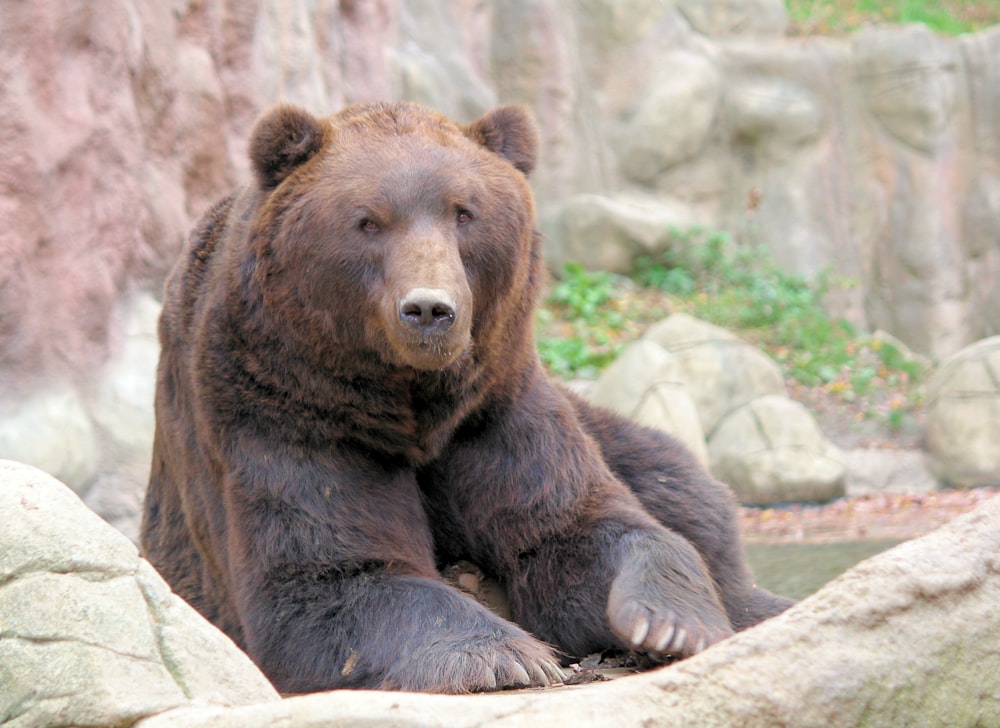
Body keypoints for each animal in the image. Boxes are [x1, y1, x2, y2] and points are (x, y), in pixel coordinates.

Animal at [141, 101, 792, 692]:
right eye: (368, 221)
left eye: (463, 213)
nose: (430, 308)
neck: (412, 407)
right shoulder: (284, 412)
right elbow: (327, 574)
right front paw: (505, 657)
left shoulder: (494, 408)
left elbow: (576, 526)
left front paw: (669, 622)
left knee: (681, 485)